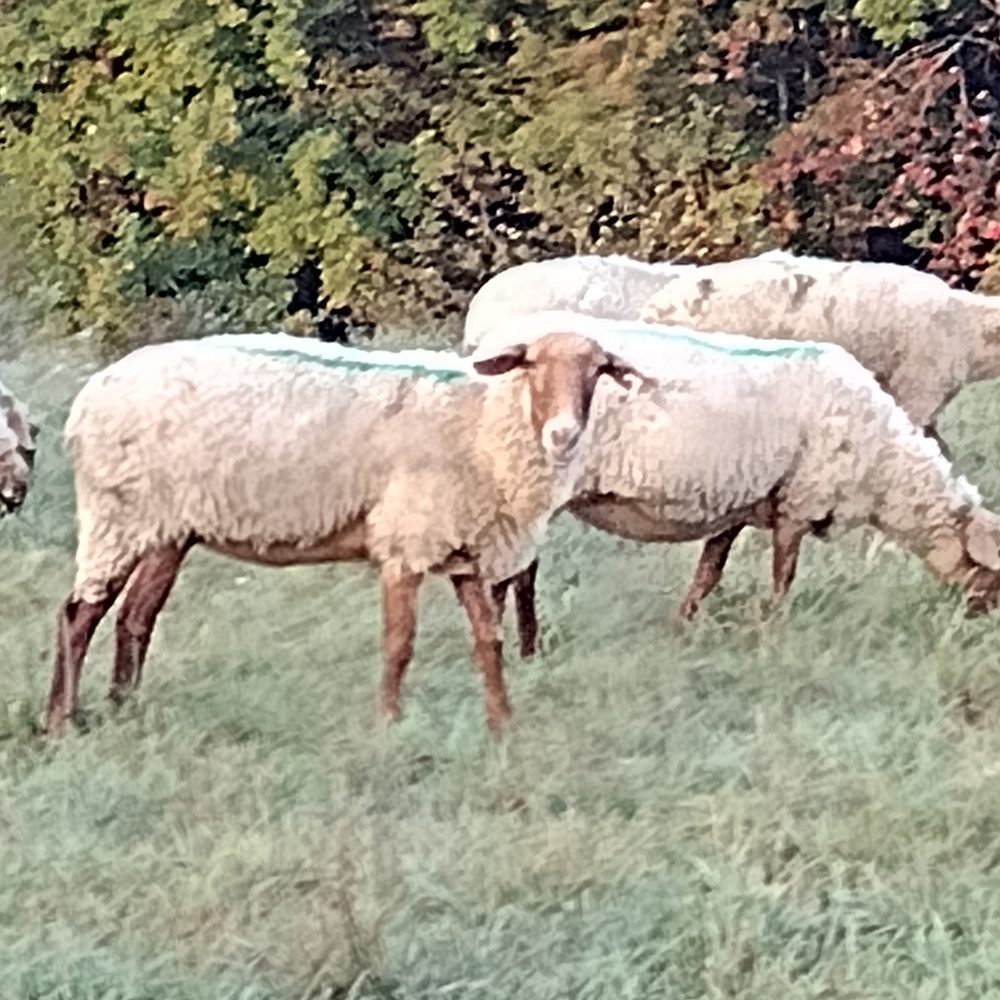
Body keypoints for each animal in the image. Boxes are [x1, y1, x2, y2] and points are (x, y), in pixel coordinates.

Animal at [45, 330, 652, 736]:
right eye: (531, 365)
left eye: (598, 371)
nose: (563, 434)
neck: (482, 426)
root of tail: (90, 395)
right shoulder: (406, 544)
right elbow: (399, 643)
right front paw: (389, 722)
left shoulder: (463, 550)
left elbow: (488, 641)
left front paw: (502, 723)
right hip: (116, 514)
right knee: (78, 616)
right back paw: (62, 723)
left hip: (167, 527)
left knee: (134, 619)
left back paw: (124, 710)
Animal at [473, 312, 1000, 653]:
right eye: (992, 574)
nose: (981, 631)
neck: (883, 467)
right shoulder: (799, 500)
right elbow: (783, 578)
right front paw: (772, 633)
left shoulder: (738, 504)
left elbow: (709, 572)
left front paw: (682, 628)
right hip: (527, 479)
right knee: (516, 573)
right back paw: (522, 645)